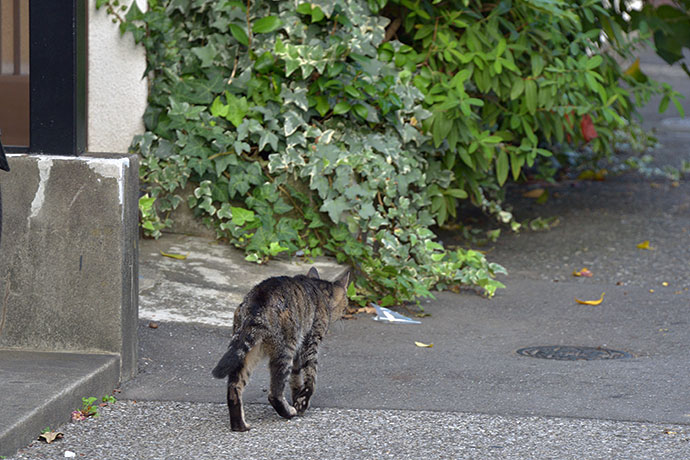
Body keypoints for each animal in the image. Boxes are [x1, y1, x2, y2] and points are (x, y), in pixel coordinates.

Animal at [211, 266, 350, 432]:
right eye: (347, 303)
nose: (347, 310)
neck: (320, 291)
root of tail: (256, 303)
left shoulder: (299, 349)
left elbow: (296, 377)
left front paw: (298, 398)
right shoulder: (309, 343)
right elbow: (310, 377)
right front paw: (302, 403)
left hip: (246, 354)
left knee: (233, 389)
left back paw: (240, 426)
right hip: (284, 351)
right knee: (274, 393)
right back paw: (289, 412)